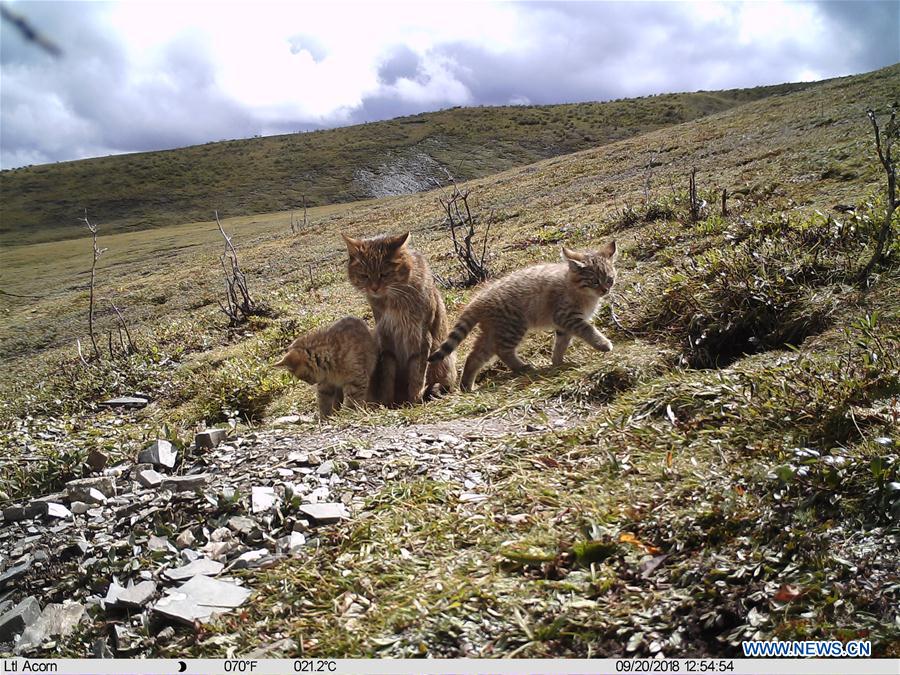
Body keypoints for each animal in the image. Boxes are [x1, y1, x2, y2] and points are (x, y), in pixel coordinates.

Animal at [342, 232, 458, 404]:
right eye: (364, 276)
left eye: (384, 274)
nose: (374, 288)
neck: (394, 299)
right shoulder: (386, 337)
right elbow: (387, 375)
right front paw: (387, 402)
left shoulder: (421, 336)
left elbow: (417, 374)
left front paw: (414, 399)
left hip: (443, 358)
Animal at [430, 242, 620, 390]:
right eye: (594, 281)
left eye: (609, 279)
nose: (605, 290)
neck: (576, 287)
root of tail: (480, 299)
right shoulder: (567, 317)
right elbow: (588, 330)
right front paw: (602, 343)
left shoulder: (563, 326)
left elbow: (561, 344)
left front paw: (557, 362)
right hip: (513, 327)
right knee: (502, 351)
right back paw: (522, 367)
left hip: (495, 330)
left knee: (475, 355)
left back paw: (466, 385)